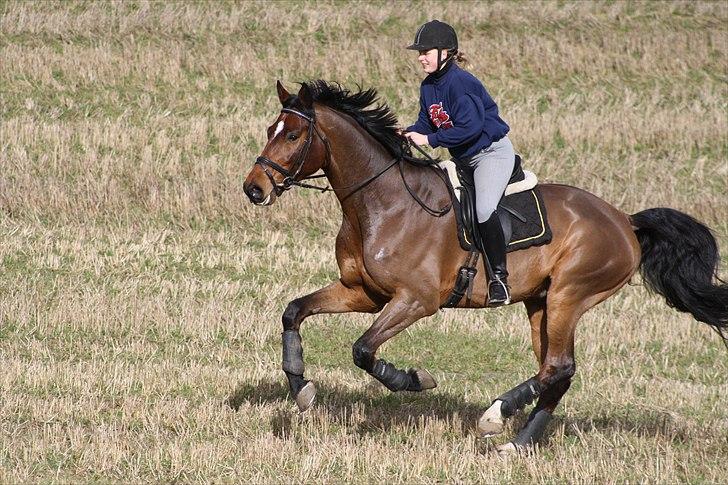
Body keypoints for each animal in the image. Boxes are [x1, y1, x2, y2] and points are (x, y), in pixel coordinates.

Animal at [245, 78, 728, 450]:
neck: (381, 202)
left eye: (292, 136)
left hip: (570, 294)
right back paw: (518, 443)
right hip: (541, 302)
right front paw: (301, 389)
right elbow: (294, 311)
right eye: (271, 128)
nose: (254, 189)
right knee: (556, 371)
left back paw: (495, 415)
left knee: (558, 367)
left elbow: (363, 350)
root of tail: (625, 221)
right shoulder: (362, 293)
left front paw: (414, 380)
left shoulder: (416, 300)